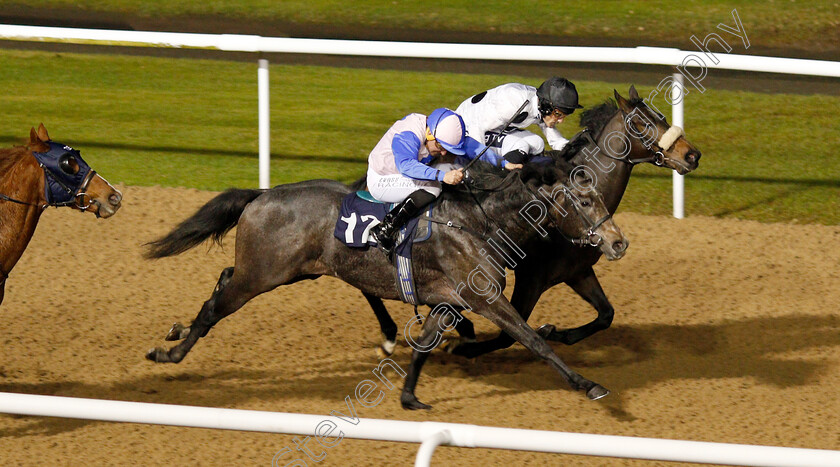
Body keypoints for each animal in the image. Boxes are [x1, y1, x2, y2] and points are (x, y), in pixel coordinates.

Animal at [146, 162, 624, 410]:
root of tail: (262, 194)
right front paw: (589, 385)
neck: (480, 222)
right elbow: (533, 339)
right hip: (262, 275)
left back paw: (174, 334)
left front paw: (410, 397)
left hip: (289, 270)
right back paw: (168, 353)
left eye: (600, 197)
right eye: (584, 201)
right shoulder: (484, 297)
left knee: (224, 280)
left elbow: (427, 343)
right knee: (216, 306)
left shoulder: (451, 300)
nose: (619, 242)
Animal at [360, 87, 704, 358]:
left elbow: (606, 314)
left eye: (661, 117)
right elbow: (506, 335)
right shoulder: (531, 277)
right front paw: (460, 346)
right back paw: (392, 335)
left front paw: (557, 332)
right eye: (642, 123)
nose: (692, 155)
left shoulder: (577, 271)